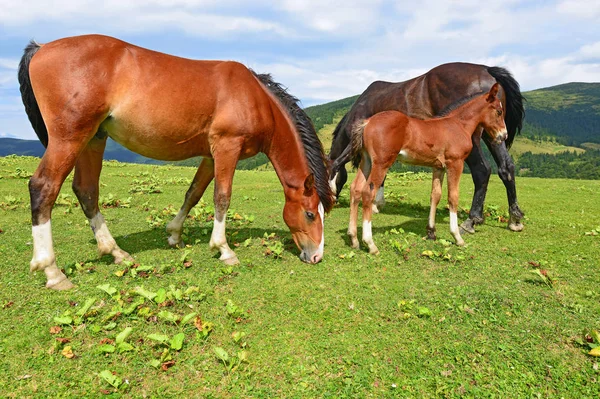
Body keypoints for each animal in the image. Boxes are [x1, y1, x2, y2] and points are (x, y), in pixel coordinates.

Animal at [17, 34, 332, 290]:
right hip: (70, 138)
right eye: (310, 214)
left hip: (93, 138)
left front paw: (174, 235)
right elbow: (222, 197)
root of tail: (42, 47)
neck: (254, 97)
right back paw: (52, 271)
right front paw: (224, 249)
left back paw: (116, 252)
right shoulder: (227, 147)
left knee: (86, 191)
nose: (317, 256)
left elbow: (193, 194)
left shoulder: (211, 155)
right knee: (44, 187)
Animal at [328, 63, 524, 234]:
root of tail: (487, 70)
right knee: (506, 168)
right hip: (494, 134)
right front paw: (377, 202)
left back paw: (472, 220)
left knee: (482, 170)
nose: (332, 201)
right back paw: (514, 219)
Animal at [346, 84, 506, 255]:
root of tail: (367, 122)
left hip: (366, 161)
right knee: (368, 192)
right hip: (381, 163)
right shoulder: (455, 163)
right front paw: (457, 237)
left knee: (355, 189)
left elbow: (435, 196)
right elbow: (453, 197)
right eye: (499, 111)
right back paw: (370, 243)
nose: (503, 136)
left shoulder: (438, 167)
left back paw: (353, 239)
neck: (458, 125)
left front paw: (431, 232)